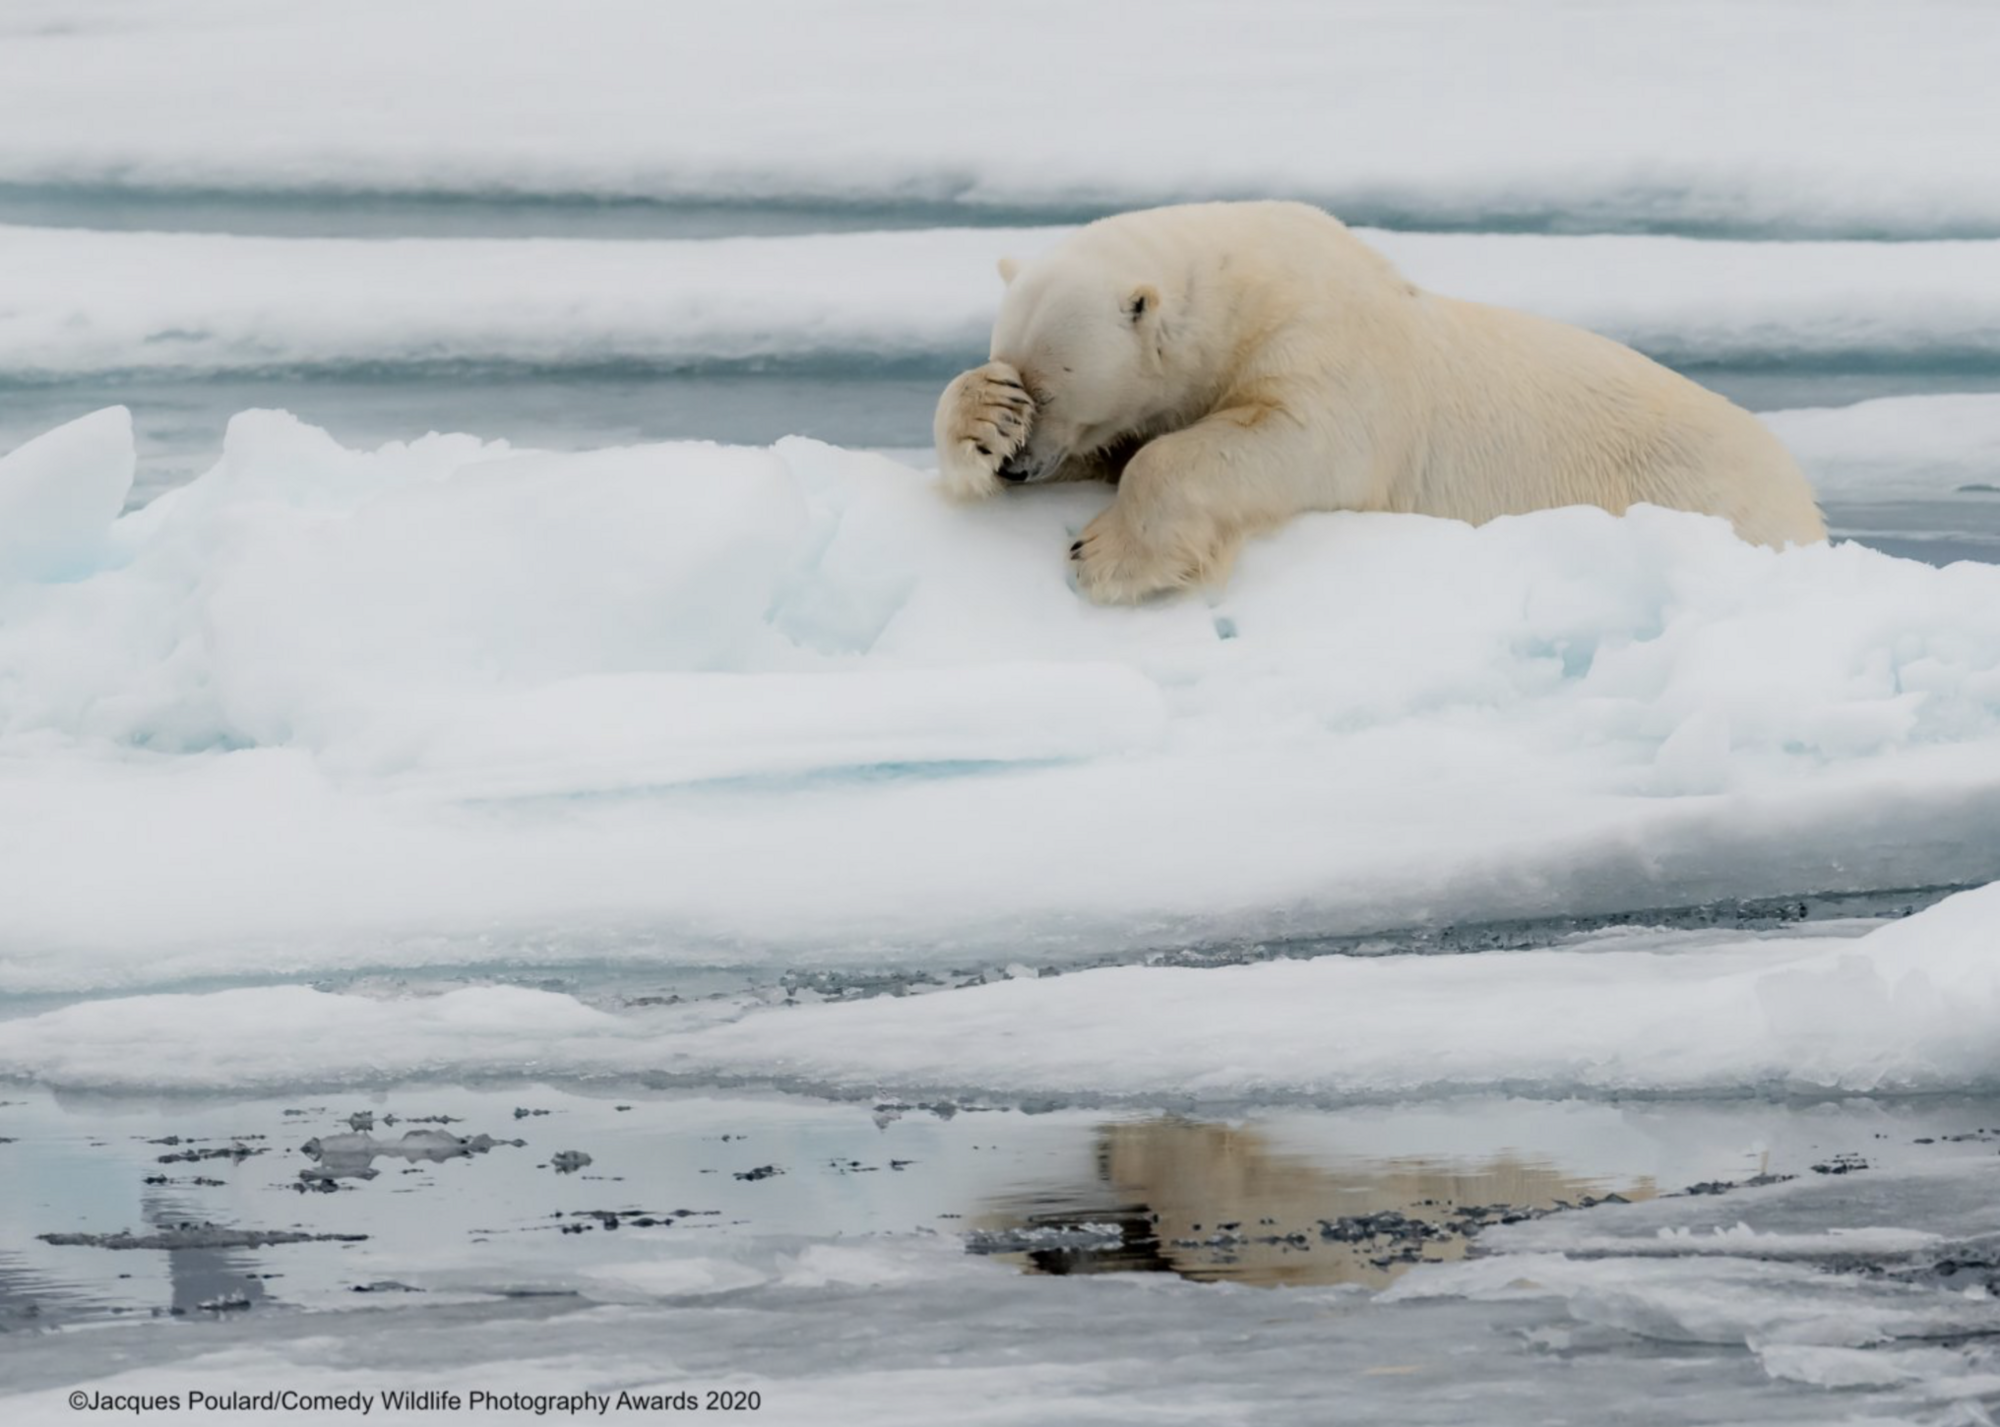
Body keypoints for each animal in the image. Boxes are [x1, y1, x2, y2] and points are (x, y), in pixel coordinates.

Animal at [936, 199, 1832, 599]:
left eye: (1056, 387)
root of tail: (1806, 499)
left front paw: (1107, 553)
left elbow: (1289, 438)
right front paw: (981, 420)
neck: (1250, 288)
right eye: (1019, 374)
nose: (1017, 470)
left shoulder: (1328, 350)